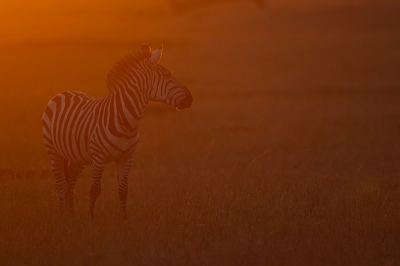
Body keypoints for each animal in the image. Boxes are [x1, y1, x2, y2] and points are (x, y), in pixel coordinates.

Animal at [42, 43, 192, 218]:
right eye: (168, 75)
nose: (190, 98)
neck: (126, 122)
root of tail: (63, 92)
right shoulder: (99, 158)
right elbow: (95, 189)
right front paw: (91, 217)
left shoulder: (127, 158)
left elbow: (123, 190)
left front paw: (124, 218)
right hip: (53, 151)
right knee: (60, 184)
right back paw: (62, 215)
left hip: (77, 155)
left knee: (70, 181)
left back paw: (71, 214)